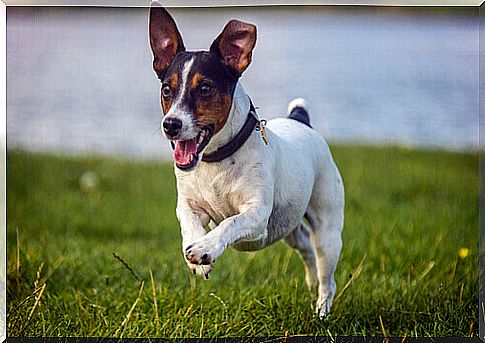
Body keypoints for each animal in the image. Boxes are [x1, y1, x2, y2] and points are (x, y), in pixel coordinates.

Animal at [147, 4, 344, 318]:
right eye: (167, 89)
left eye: (205, 89)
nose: (171, 125)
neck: (216, 159)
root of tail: (300, 120)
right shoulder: (188, 205)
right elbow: (188, 222)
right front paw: (195, 254)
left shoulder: (256, 214)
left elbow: (230, 222)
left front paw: (206, 247)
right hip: (287, 226)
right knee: (304, 245)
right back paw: (311, 280)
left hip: (327, 231)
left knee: (328, 276)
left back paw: (322, 311)